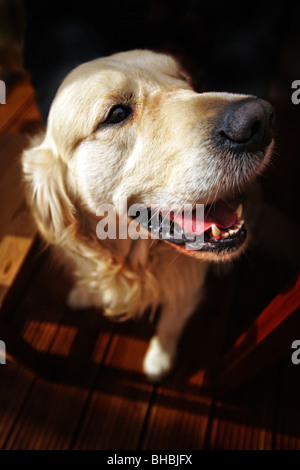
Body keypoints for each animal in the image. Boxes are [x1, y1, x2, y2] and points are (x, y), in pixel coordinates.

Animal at [22, 50, 274, 382]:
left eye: (184, 80)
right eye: (116, 114)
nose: (260, 119)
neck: (136, 263)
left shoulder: (186, 289)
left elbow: (169, 324)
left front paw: (159, 359)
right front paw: (85, 294)